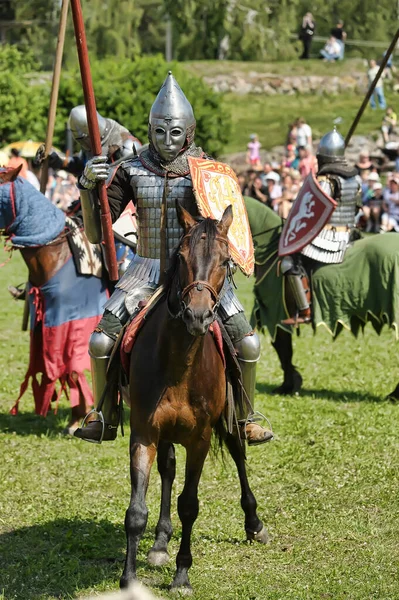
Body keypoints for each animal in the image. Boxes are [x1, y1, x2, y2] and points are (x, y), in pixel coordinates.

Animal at [120, 205, 268, 592]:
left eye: (226, 261)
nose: (198, 316)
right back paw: (160, 542)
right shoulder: (144, 433)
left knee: (238, 453)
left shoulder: (200, 439)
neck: (179, 364)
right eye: (182, 256)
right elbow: (136, 510)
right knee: (168, 468)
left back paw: (254, 523)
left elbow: (189, 504)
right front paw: (129, 578)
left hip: (230, 417)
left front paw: (182, 575)